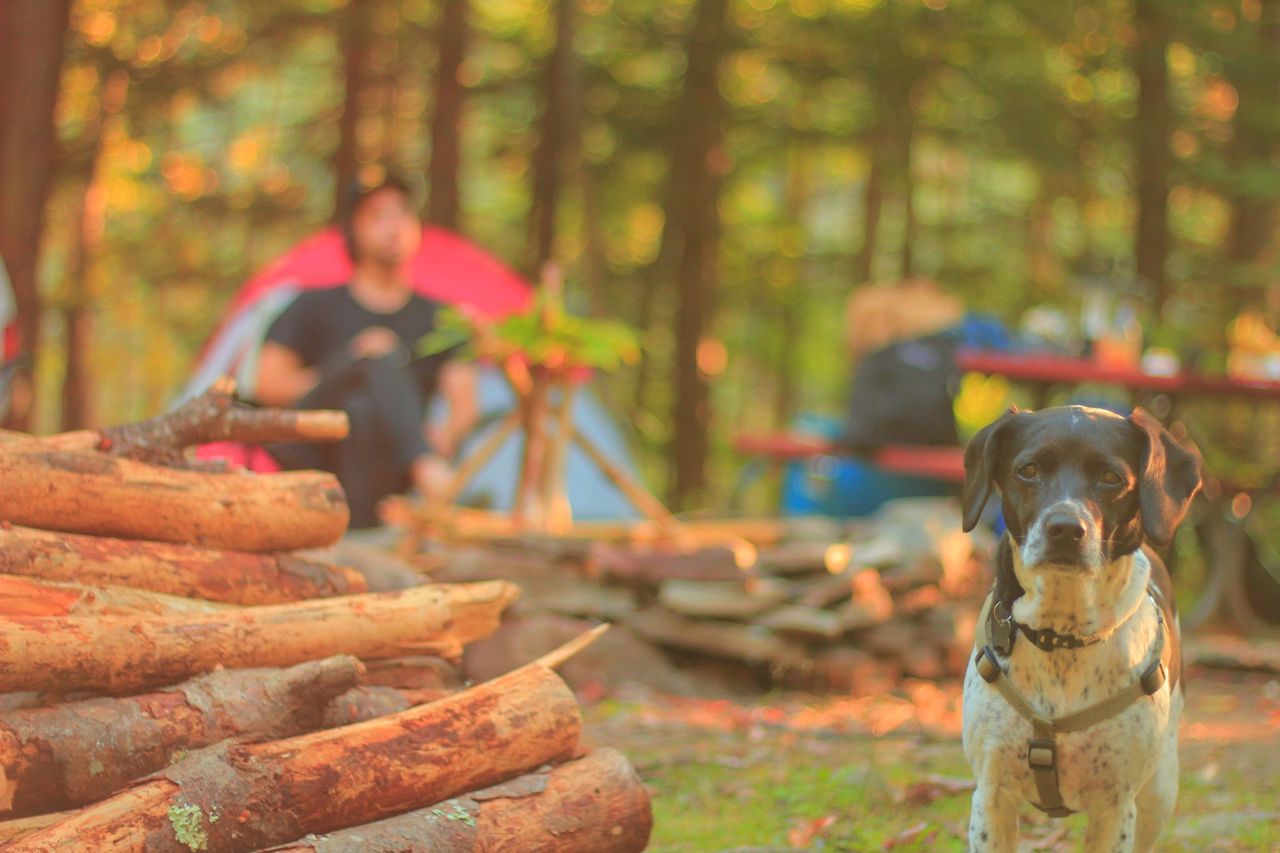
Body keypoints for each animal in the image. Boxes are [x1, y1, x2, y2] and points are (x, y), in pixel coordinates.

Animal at [962, 404, 1198, 850]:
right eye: (1029, 470)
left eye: (1110, 477)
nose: (1065, 528)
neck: (1062, 636)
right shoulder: (991, 796)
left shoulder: (1116, 808)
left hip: (1162, 789)